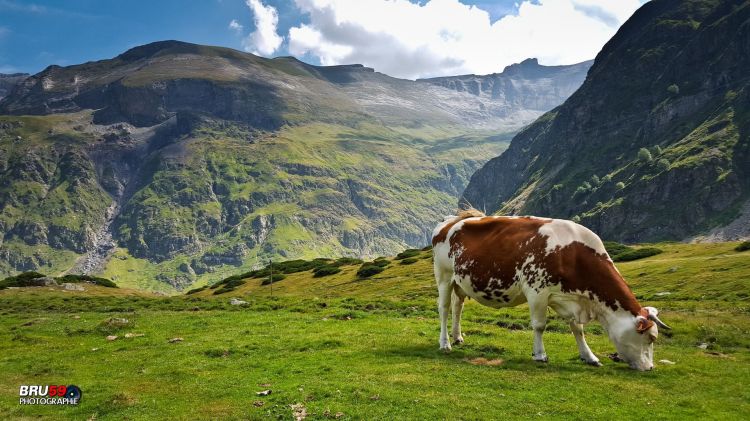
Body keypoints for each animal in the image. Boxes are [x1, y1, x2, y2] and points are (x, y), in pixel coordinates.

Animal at [432, 208, 672, 370]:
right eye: (651, 338)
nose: (650, 368)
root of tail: (452, 220)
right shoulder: (537, 291)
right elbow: (539, 326)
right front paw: (540, 355)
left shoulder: (568, 298)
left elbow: (577, 329)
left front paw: (589, 356)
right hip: (444, 276)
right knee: (444, 309)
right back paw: (445, 344)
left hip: (460, 282)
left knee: (457, 308)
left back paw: (457, 337)